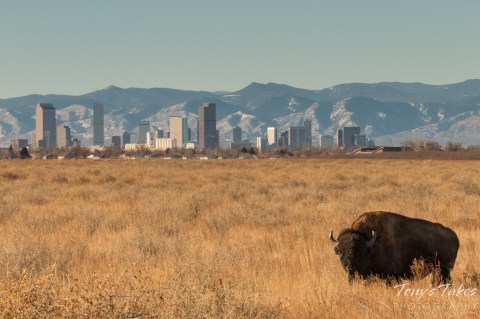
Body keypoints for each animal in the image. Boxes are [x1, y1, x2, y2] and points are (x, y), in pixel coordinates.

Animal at [328, 212, 460, 284]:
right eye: (340, 251)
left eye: (358, 250)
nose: (348, 267)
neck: (370, 244)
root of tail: (454, 236)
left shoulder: (391, 277)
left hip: (443, 270)